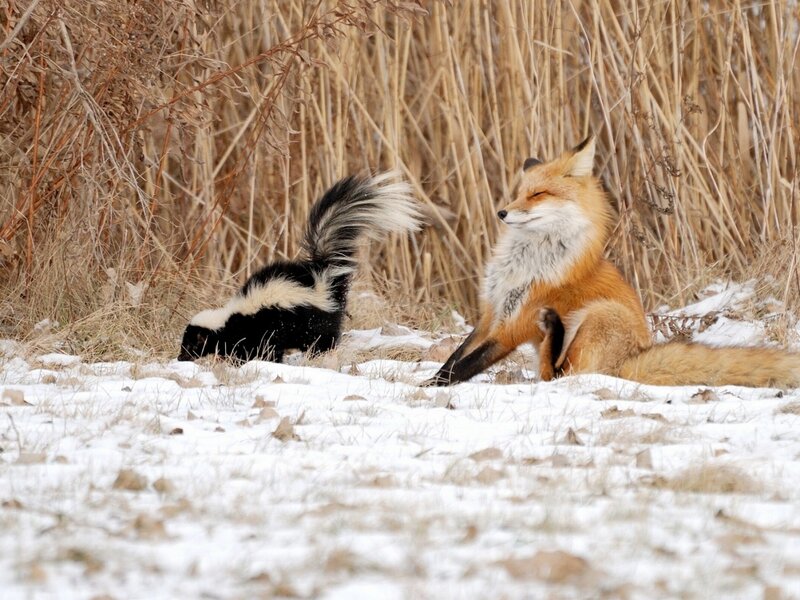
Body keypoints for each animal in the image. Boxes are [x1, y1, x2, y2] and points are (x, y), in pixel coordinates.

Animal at [425, 135, 800, 388]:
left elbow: (464, 367)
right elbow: (454, 358)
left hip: (600, 315)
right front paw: (430, 382)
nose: (502, 213)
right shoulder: (492, 313)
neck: (524, 262)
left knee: (558, 376)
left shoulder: (513, 326)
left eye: (537, 194)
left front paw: (428, 389)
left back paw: (555, 330)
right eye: (518, 194)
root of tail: (629, 363)